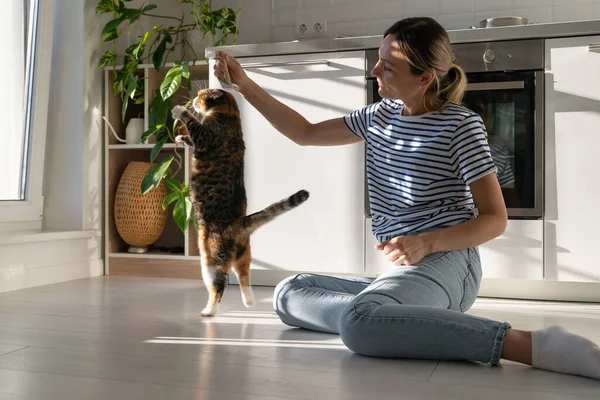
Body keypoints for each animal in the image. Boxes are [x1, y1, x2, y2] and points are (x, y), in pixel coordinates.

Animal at [170, 89, 308, 318]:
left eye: (201, 95)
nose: (193, 100)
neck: (230, 115)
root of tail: (240, 224)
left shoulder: (206, 135)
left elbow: (193, 124)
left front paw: (179, 110)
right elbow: (191, 138)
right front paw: (181, 137)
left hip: (210, 259)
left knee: (218, 286)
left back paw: (208, 311)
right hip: (244, 255)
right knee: (244, 275)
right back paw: (249, 302)